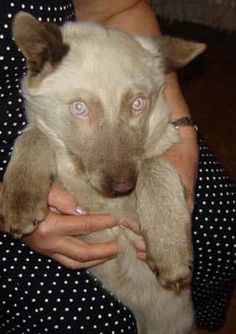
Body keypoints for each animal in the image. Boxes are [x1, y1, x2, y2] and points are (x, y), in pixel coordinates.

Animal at [0, 13, 205, 334]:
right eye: (79, 108)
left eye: (138, 104)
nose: (123, 187)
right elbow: (35, 133)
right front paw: (21, 201)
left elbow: (153, 165)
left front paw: (170, 252)